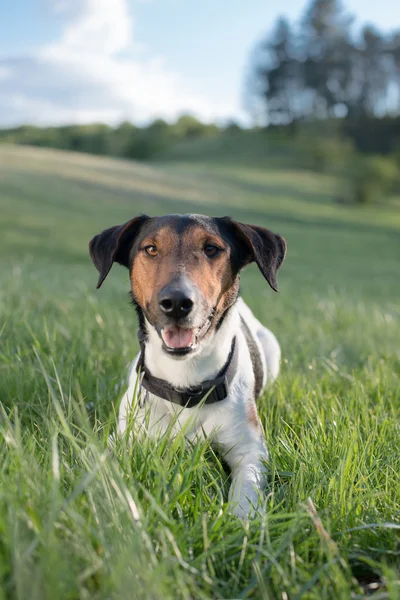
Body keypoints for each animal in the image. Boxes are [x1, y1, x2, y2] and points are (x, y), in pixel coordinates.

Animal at [89, 213, 286, 516]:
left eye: (211, 249)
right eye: (150, 249)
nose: (177, 302)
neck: (185, 379)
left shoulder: (250, 449)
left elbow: (247, 488)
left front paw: (243, 519)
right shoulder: (123, 436)